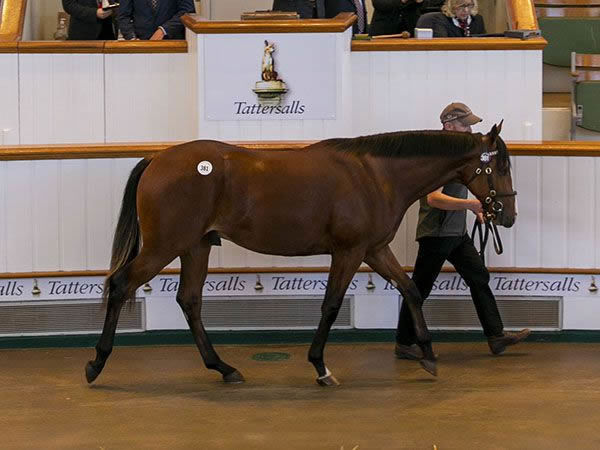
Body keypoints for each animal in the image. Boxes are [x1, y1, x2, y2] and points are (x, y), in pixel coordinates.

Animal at [84, 123, 516, 386]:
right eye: (501, 166)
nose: (506, 215)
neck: (375, 176)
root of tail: (157, 159)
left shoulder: (375, 249)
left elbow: (410, 288)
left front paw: (427, 354)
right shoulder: (349, 251)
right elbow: (331, 305)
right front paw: (321, 366)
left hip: (195, 246)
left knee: (189, 301)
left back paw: (223, 368)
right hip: (165, 246)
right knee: (121, 284)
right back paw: (96, 364)